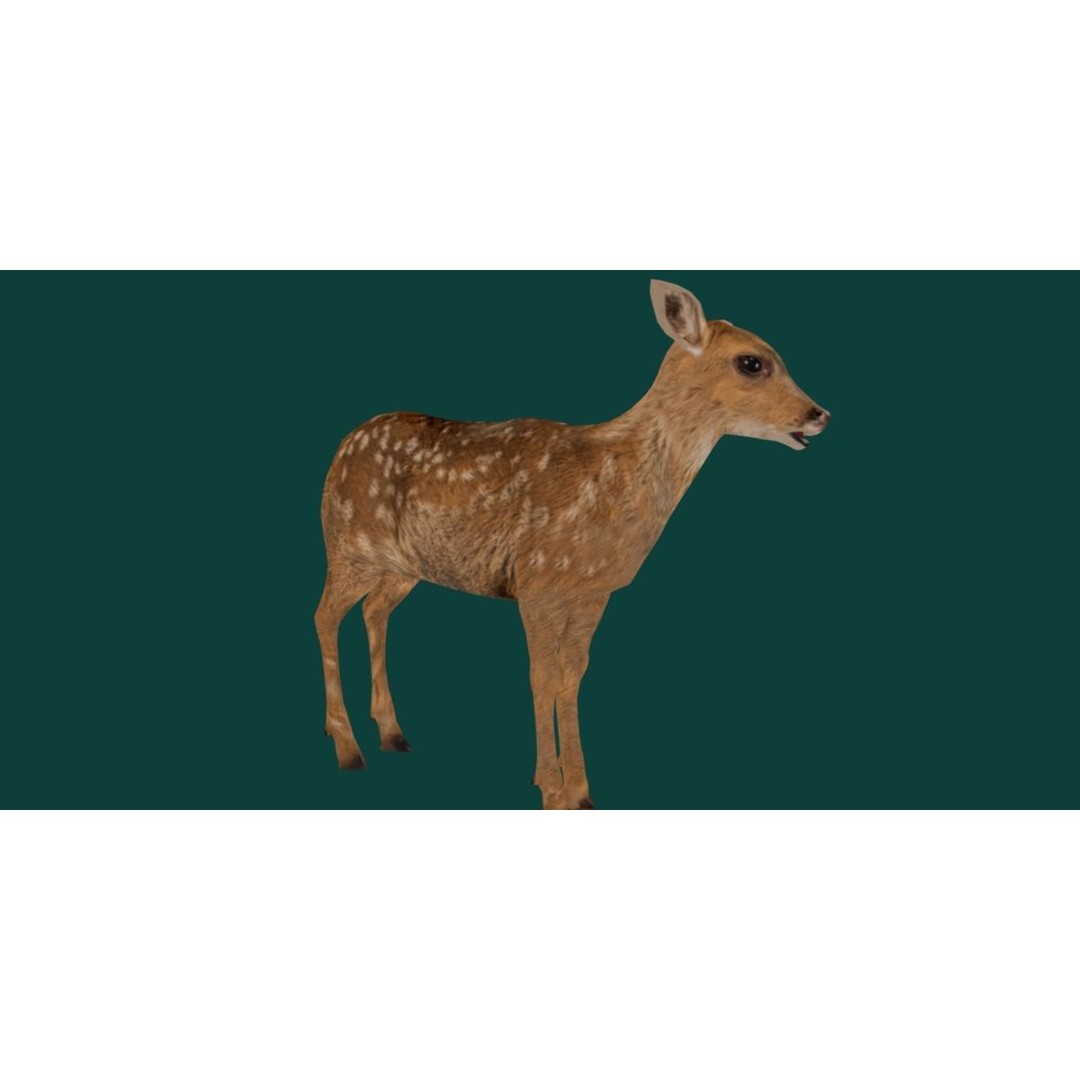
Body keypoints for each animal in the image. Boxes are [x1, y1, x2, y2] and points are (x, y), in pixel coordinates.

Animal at [315, 279, 830, 809]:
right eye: (752, 362)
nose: (820, 414)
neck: (615, 475)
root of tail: (342, 447)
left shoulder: (591, 591)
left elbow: (572, 676)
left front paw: (580, 792)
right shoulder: (538, 580)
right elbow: (542, 677)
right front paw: (550, 788)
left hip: (402, 567)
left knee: (374, 612)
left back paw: (392, 733)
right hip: (348, 544)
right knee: (325, 616)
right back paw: (348, 748)